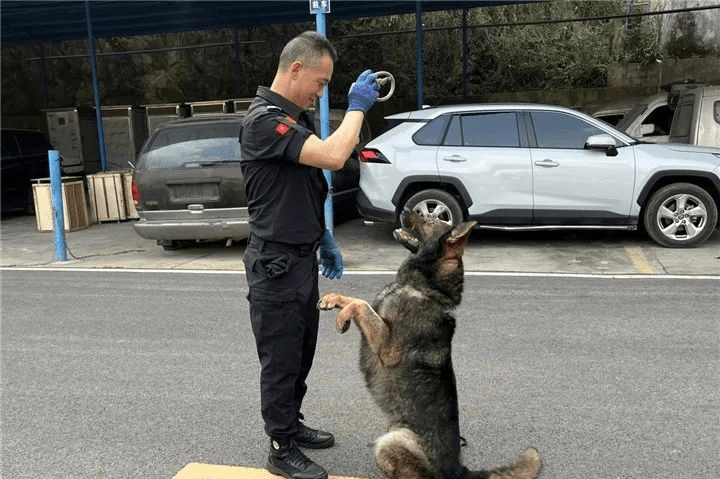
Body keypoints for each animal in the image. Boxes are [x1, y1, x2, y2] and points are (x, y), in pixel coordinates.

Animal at [320, 213, 540, 479]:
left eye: (431, 218)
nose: (404, 209)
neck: (424, 288)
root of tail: (459, 470)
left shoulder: (386, 348)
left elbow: (360, 304)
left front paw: (342, 318)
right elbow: (356, 300)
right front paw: (331, 298)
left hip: (393, 439)